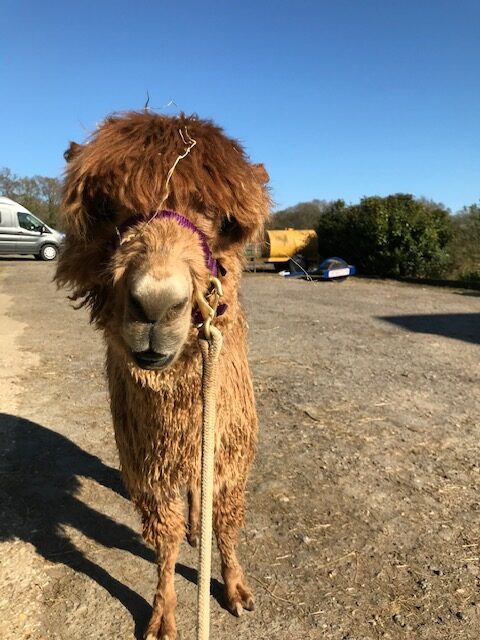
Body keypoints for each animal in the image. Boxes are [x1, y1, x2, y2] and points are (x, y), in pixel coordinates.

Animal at [56, 112, 270, 636]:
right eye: (107, 209)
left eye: (224, 222)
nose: (156, 303)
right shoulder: (146, 464)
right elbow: (164, 538)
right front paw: (163, 615)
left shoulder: (230, 454)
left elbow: (226, 521)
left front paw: (235, 589)